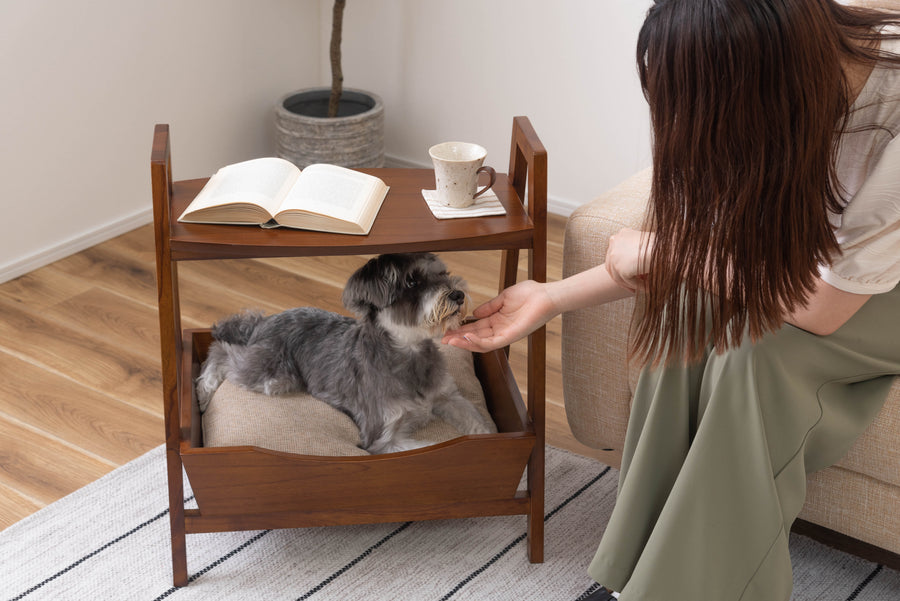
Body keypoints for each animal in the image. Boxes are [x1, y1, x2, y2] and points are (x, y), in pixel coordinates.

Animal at [195, 253, 500, 454]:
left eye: (443, 273)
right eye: (412, 283)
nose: (458, 294)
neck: (408, 352)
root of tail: (266, 322)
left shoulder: (448, 397)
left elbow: (479, 423)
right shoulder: (383, 438)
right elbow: (431, 445)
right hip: (273, 375)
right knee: (222, 350)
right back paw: (204, 389)